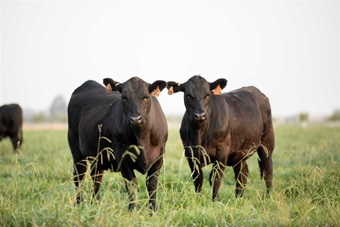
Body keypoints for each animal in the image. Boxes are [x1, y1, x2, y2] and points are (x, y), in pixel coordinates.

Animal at [67, 76, 168, 211]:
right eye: (124, 97)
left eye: (146, 96)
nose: (135, 119)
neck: (142, 139)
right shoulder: (122, 157)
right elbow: (131, 184)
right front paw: (132, 211)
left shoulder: (159, 158)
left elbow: (152, 184)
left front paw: (153, 211)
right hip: (76, 151)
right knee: (79, 177)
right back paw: (78, 204)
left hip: (98, 156)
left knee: (96, 177)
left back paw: (96, 204)